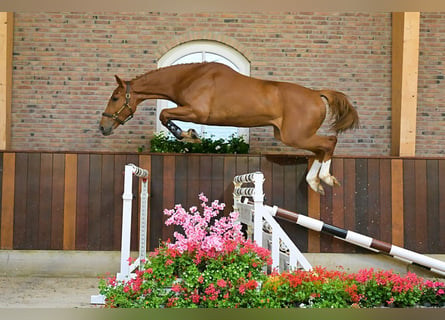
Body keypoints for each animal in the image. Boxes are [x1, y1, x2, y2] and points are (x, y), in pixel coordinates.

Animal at [100, 61, 358, 194]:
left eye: (115, 97)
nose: (103, 127)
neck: (189, 77)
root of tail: (316, 94)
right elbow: (166, 115)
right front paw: (190, 135)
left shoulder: (197, 111)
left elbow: (165, 115)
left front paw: (189, 135)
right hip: (291, 136)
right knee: (320, 150)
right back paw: (314, 182)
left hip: (296, 136)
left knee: (329, 143)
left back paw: (325, 178)